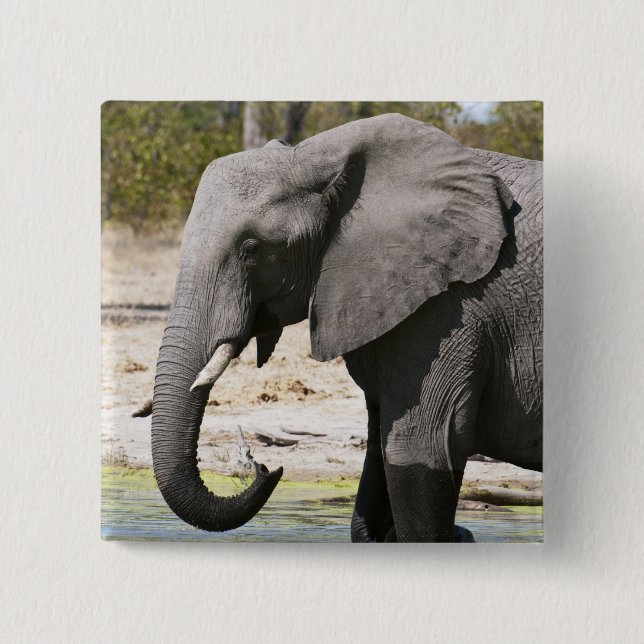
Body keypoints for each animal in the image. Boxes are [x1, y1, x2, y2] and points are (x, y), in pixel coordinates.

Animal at [150, 113, 542, 542]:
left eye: (252, 249)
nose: (267, 468)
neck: (317, 155)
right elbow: (377, 462)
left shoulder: (450, 309)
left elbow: (420, 451)